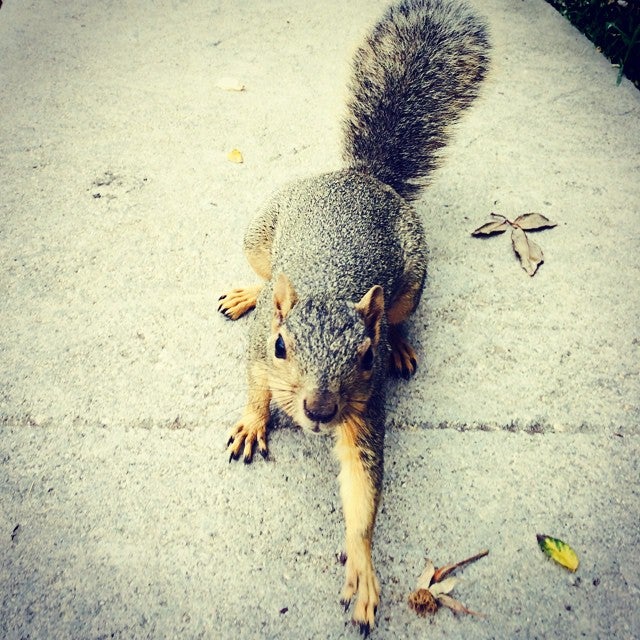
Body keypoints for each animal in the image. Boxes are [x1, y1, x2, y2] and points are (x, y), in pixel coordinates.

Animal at [218, 0, 488, 636]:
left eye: (364, 357)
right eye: (281, 347)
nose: (319, 411)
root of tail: (362, 177)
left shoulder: (365, 408)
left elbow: (363, 486)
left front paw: (363, 570)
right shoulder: (258, 350)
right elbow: (254, 385)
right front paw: (252, 422)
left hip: (413, 280)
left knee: (404, 312)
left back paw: (404, 344)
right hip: (261, 233)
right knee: (262, 274)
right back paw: (247, 292)